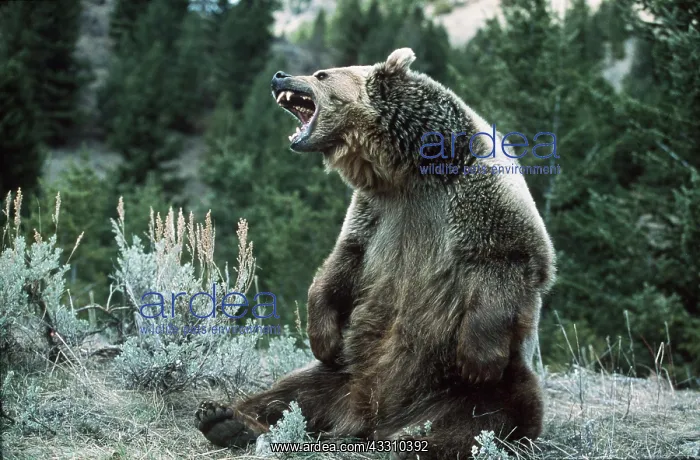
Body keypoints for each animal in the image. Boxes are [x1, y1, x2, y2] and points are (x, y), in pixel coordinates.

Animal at [195, 48, 556, 459]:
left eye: (321, 74)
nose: (279, 76)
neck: (412, 170)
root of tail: (368, 418)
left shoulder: (480, 200)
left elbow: (508, 259)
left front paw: (477, 359)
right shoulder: (376, 212)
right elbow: (343, 262)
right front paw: (323, 336)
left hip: (483, 387)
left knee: (484, 420)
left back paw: (413, 441)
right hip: (345, 371)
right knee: (293, 392)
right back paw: (226, 419)